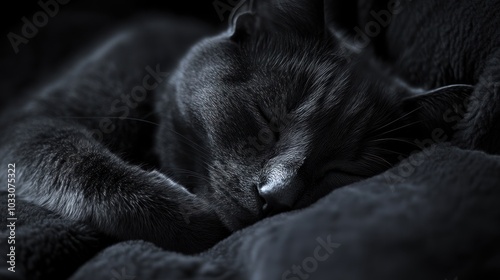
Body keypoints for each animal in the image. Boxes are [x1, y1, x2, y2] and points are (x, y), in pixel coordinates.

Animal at [0, 0, 472, 253]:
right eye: (267, 118)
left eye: (342, 169)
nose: (276, 194)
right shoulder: (31, 119)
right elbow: (81, 162)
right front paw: (192, 218)